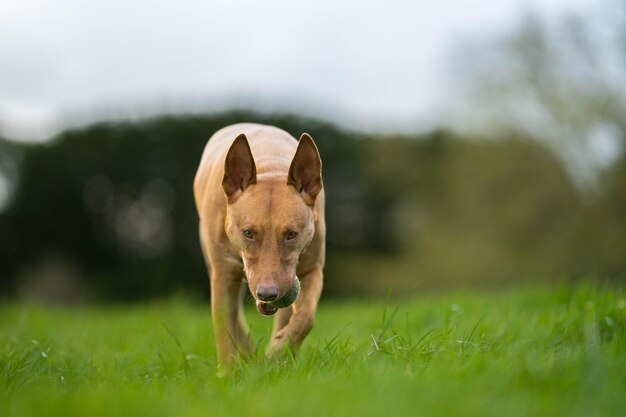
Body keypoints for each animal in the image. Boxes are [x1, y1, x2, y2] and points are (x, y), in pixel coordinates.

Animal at [193, 123, 324, 374]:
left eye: (291, 234)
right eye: (248, 233)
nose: (267, 293)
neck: (270, 168)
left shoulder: (312, 269)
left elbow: (306, 317)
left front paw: (279, 351)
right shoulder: (223, 274)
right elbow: (223, 325)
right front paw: (227, 372)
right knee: (234, 313)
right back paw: (247, 352)